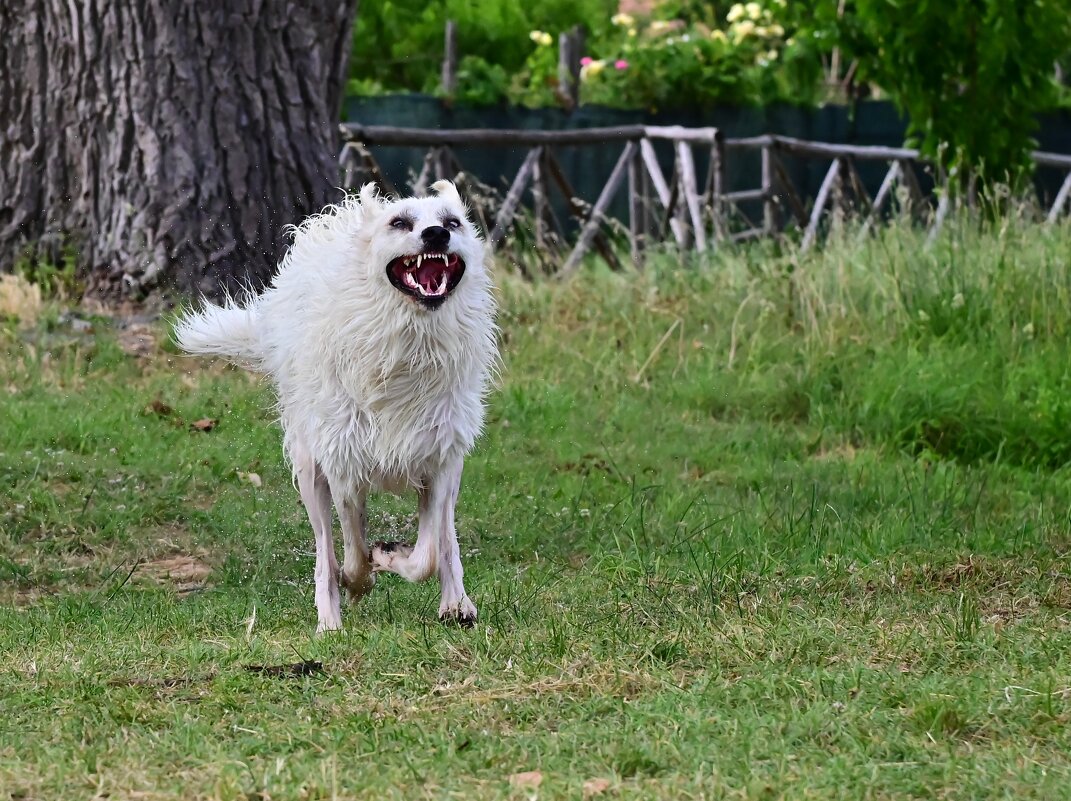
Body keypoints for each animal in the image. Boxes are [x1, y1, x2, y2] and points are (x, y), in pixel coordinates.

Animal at [175, 183, 496, 633]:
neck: (410, 342)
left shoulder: (439, 459)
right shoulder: (343, 464)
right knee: (326, 550)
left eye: (453, 222)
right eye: (400, 222)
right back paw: (329, 621)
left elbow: (428, 554)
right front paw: (361, 577)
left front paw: (392, 556)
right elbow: (354, 550)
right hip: (310, 467)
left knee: (444, 541)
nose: (436, 234)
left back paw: (456, 603)